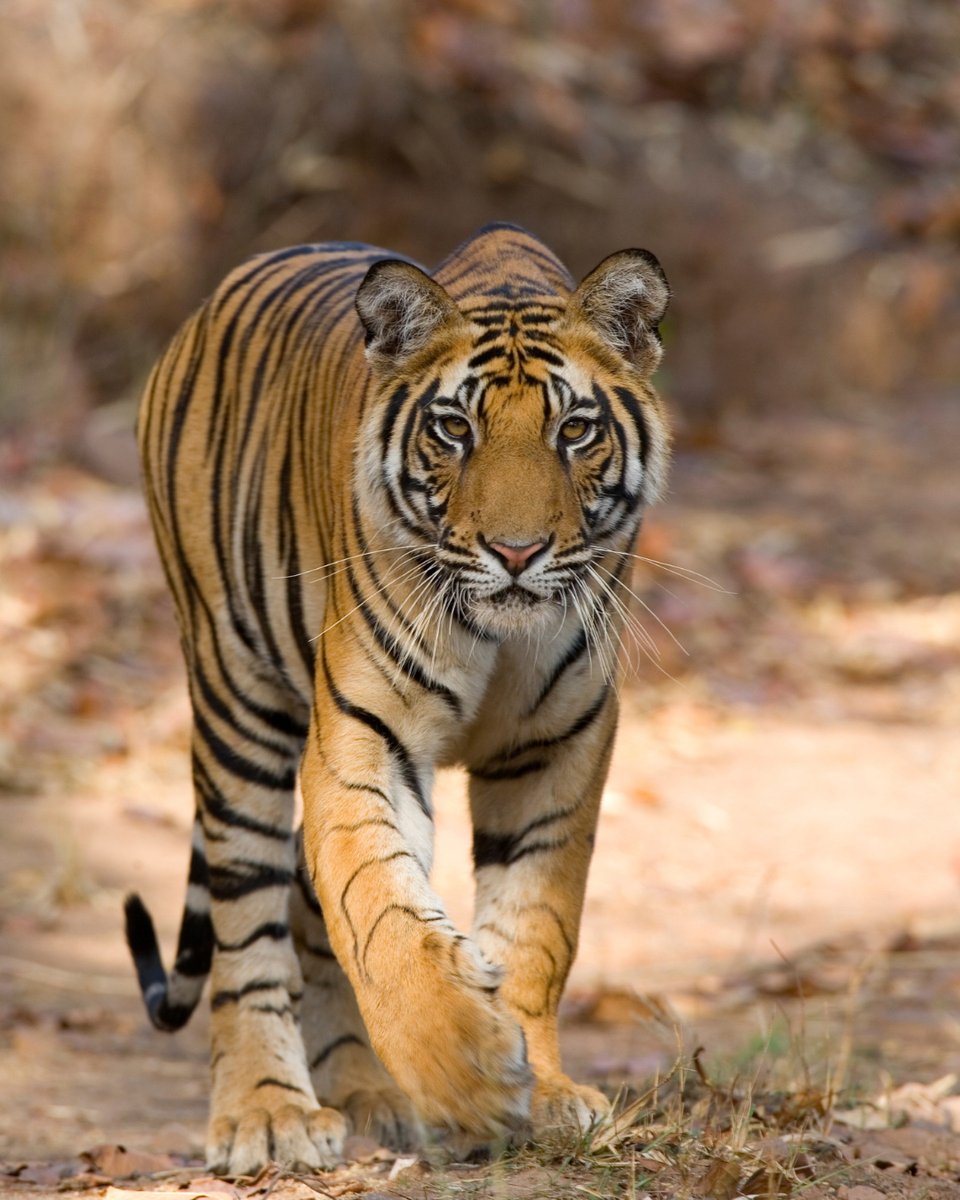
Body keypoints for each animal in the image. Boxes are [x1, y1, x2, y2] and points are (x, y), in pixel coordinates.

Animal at [124, 222, 671, 1175]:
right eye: (454, 429)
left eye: (574, 430)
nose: (517, 553)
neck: (500, 633)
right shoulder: (361, 741)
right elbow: (380, 913)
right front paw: (470, 1071)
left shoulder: (559, 745)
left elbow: (536, 927)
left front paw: (543, 1090)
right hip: (236, 708)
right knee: (248, 929)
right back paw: (269, 1112)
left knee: (308, 915)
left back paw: (366, 1094)